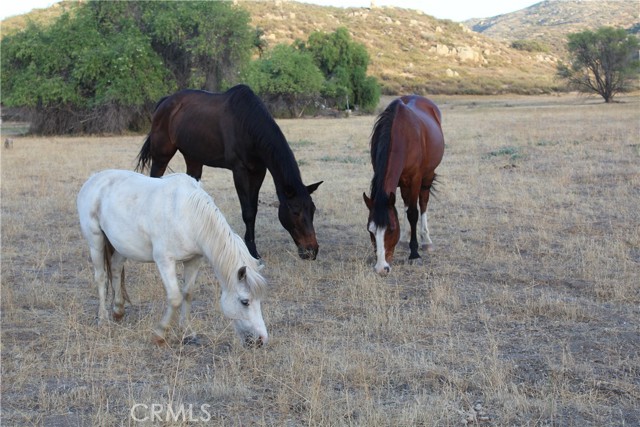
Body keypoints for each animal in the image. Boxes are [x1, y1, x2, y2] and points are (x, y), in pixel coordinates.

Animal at [77, 169, 268, 346]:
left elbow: (188, 294)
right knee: (101, 277)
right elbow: (175, 297)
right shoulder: (165, 261)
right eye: (245, 302)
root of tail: (94, 178)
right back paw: (103, 319)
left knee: (115, 268)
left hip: (122, 245)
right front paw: (159, 334)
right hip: (96, 241)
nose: (260, 340)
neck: (189, 215)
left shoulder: (194, 260)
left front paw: (187, 331)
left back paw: (118, 310)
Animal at [137, 83, 322, 260]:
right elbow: (247, 212)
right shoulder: (239, 171)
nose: (312, 251)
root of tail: (165, 102)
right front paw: (251, 251)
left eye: (313, 210)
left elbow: (253, 210)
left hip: (193, 158)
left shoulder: (258, 172)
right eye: (295, 211)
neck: (247, 125)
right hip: (161, 156)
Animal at [360, 95, 444, 276]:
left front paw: (415, 254)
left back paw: (426, 241)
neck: (402, 134)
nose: (381, 269)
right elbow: (405, 209)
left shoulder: (415, 178)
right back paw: (405, 239)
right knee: (406, 203)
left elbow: (413, 213)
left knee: (423, 202)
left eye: (391, 229)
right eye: (370, 230)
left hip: (427, 176)